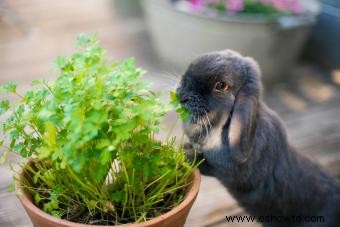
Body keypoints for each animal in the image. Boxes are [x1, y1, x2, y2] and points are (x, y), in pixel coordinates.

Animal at [177, 50, 340, 226]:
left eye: (220, 86)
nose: (182, 95)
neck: (219, 126)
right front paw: (185, 148)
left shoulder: (229, 172)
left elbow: (206, 163)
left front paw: (186, 154)